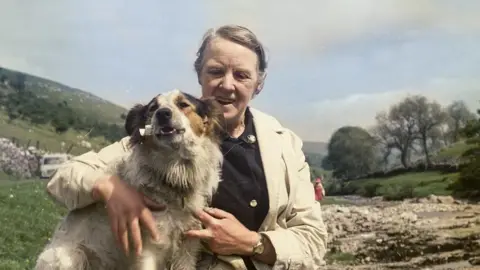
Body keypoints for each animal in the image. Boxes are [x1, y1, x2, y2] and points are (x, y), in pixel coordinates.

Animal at [34, 89, 226, 268]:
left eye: (183, 104)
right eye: (153, 108)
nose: (163, 113)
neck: (174, 177)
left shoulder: (188, 246)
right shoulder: (149, 246)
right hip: (69, 257)